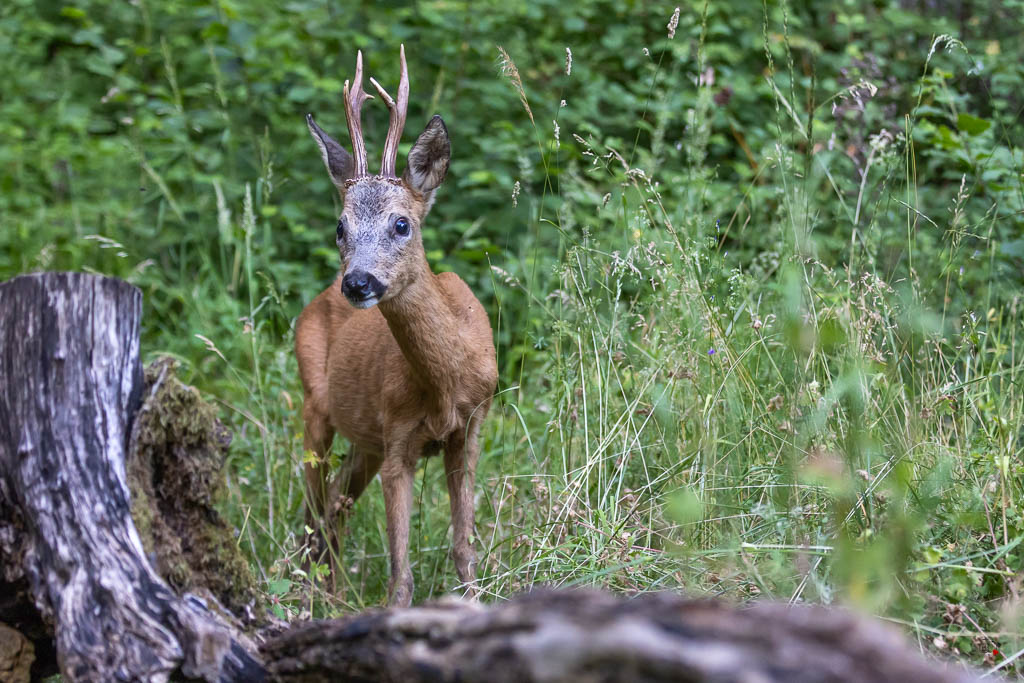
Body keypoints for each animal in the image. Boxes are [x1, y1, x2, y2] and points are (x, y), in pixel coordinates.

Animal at [294, 45, 497, 606]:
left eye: (401, 223)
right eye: (339, 226)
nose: (358, 282)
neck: (446, 382)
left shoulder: (471, 429)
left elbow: (464, 548)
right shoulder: (398, 438)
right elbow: (400, 574)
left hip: (364, 441)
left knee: (334, 505)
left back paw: (330, 595)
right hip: (316, 408)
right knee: (314, 511)